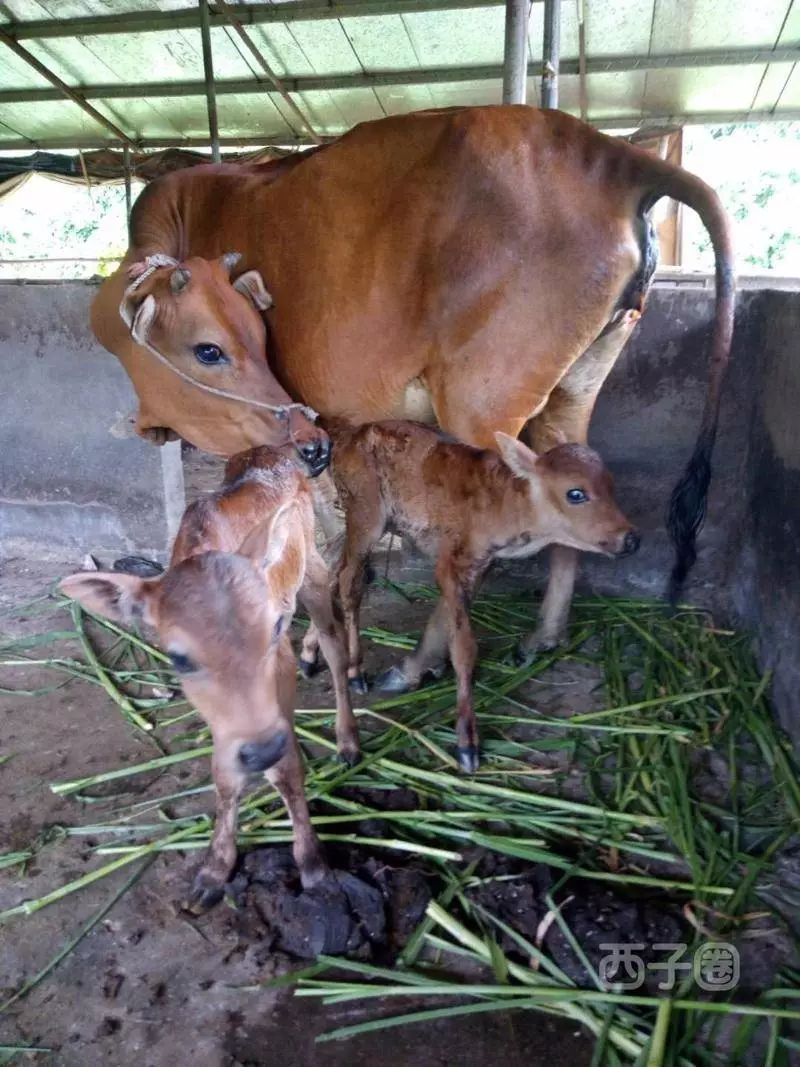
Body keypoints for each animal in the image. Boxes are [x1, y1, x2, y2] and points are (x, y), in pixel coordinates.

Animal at [58, 443, 354, 909]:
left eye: (273, 630)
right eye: (179, 659)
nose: (261, 749)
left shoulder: (279, 673)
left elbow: (287, 770)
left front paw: (312, 865)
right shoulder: (226, 722)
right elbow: (225, 776)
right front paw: (215, 869)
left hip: (313, 567)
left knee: (335, 639)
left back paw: (346, 734)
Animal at [92, 108, 733, 657]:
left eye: (214, 348)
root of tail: (614, 154)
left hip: (481, 409)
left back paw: (419, 660)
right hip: (574, 392)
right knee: (570, 484)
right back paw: (543, 635)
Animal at [320, 420, 640, 772]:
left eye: (611, 485)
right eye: (576, 493)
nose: (631, 539)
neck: (503, 507)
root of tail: (347, 438)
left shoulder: (481, 565)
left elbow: (445, 621)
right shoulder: (449, 562)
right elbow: (464, 648)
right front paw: (467, 743)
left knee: (335, 567)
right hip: (365, 514)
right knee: (350, 580)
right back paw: (355, 674)